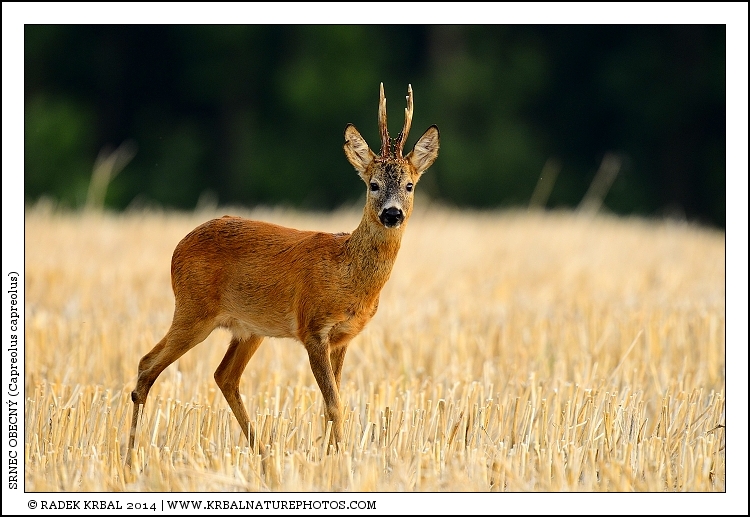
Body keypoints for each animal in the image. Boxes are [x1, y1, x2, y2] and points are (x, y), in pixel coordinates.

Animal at [127, 83, 439, 463]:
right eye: (373, 184)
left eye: (409, 185)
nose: (392, 214)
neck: (348, 274)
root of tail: (177, 247)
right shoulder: (313, 328)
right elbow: (334, 404)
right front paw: (339, 460)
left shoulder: (344, 337)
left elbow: (331, 402)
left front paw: (331, 456)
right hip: (192, 309)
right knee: (146, 365)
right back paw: (129, 458)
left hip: (248, 328)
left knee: (224, 376)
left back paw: (263, 455)